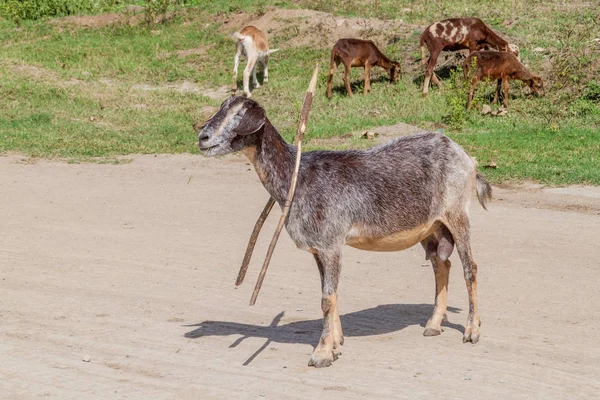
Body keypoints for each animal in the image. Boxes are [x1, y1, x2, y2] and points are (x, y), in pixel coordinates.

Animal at [197, 96, 492, 368]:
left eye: (239, 114)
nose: (202, 137)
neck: (297, 177)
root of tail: (465, 156)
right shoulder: (318, 248)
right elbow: (329, 294)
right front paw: (336, 343)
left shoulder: (331, 243)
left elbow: (327, 298)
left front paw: (321, 354)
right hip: (432, 226)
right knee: (442, 264)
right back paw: (433, 324)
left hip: (457, 213)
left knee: (471, 267)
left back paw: (471, 330)